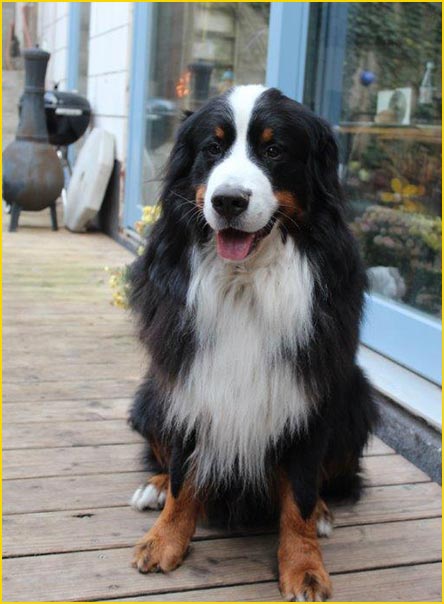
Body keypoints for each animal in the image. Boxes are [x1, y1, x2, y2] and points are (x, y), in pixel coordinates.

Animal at [128, 85, 378, 601]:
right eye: (212, 148)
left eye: (274, 150)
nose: (228, 201)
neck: (244, 280)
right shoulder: (188, 380)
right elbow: (184, 473)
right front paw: (164, 539)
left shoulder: (307, 393)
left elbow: (299, 493)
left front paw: (304, 566)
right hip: (149, 396)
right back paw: (153, 486)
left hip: (357, 397)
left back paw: (324, 512)